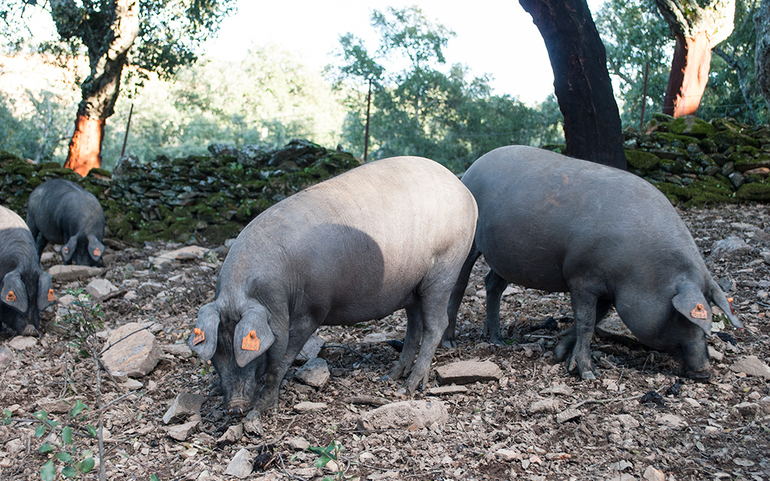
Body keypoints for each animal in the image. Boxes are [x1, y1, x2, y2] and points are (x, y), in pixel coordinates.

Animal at [189, 156, 476, 410]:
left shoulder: (311, 311)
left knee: (436, 324)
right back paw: (391, 376)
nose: (235, 408)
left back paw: (409, 387)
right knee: (414, 325)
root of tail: (466, 192)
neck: (273, 296)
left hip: (444, 269)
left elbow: (282, 360)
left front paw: (261, 409)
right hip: (412, 286)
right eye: (217, 353)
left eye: (250, 349)